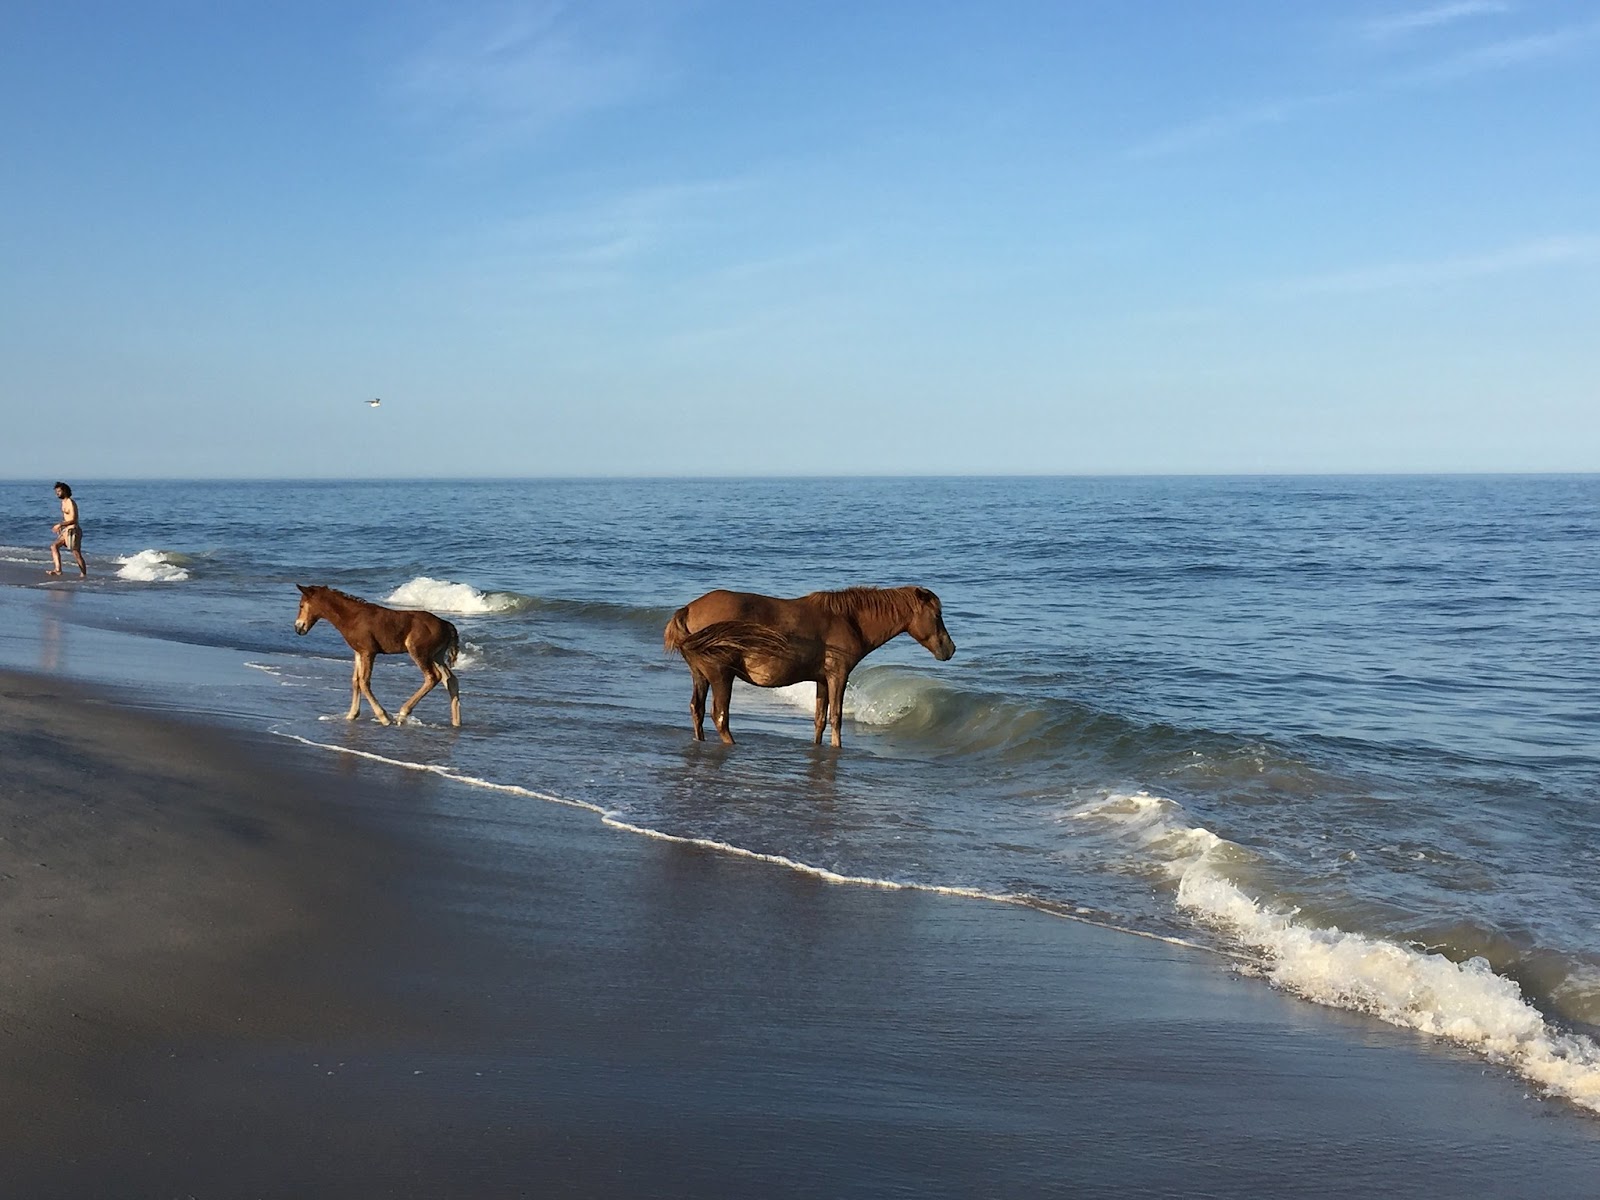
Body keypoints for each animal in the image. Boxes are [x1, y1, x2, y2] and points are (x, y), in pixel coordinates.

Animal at [294, 588, 464, 729]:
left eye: (301, 605)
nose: (298, 627)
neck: (352, 617)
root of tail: (446, 624)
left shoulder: (369, 652)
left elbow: (364, 682)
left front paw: (384, 717)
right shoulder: (358, 652)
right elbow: (356, 681)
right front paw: (351, 715)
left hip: (419, 652)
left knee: (433, 677)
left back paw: (403, 713)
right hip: (436, 656)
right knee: (450, 679)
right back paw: (456, 722)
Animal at [662, 588, 947, 748]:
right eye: (937, 615)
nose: (949, 648)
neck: (849, 620)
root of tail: (687, 610)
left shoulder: (821, 680)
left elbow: (820, 719)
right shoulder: (838, 675)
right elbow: (836, 717)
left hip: (700, 675)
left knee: (697, 710)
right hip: (721, 675)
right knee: (720, 717)